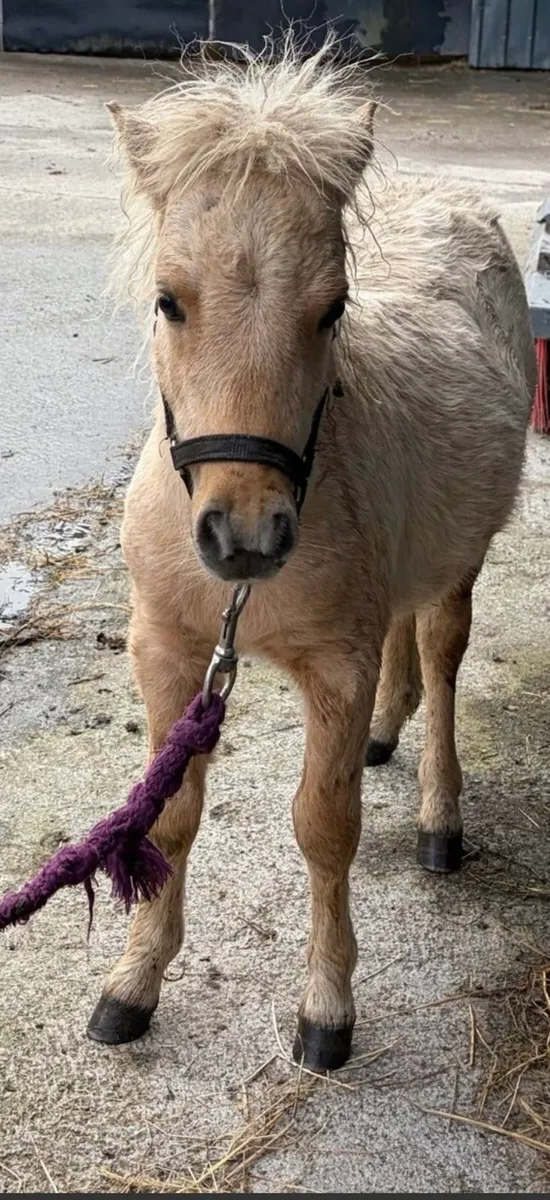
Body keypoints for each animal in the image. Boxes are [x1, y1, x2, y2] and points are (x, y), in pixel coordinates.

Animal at [87, 39, 536, 1071]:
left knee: (441, 657)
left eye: (333, 309)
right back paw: (386, 730)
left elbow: (325, 828)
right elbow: (172, 813)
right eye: (169, 301)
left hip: (462, 559)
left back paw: (439, 816)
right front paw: (135, 982)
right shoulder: (166, 649)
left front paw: (327, 1007)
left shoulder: (336, 662)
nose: (247, 536)